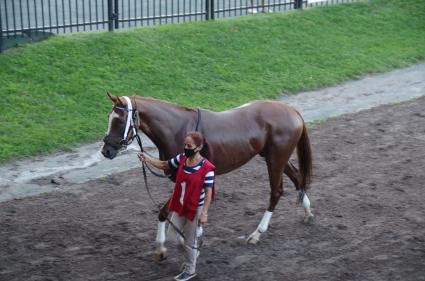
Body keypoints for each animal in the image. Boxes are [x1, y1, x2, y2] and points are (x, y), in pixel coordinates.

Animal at [101, 93, 314, 260]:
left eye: (120, 121)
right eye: (109, 117)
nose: (106, 150)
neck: (179, 130)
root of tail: (292, 111)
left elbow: (174, 211)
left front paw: (179, 245)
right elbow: (169, 211)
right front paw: (173, 245)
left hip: (275, 160)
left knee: (277, 191)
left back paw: (257, 234)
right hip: (274, 157)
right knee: (297, 178)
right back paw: (308, 213)